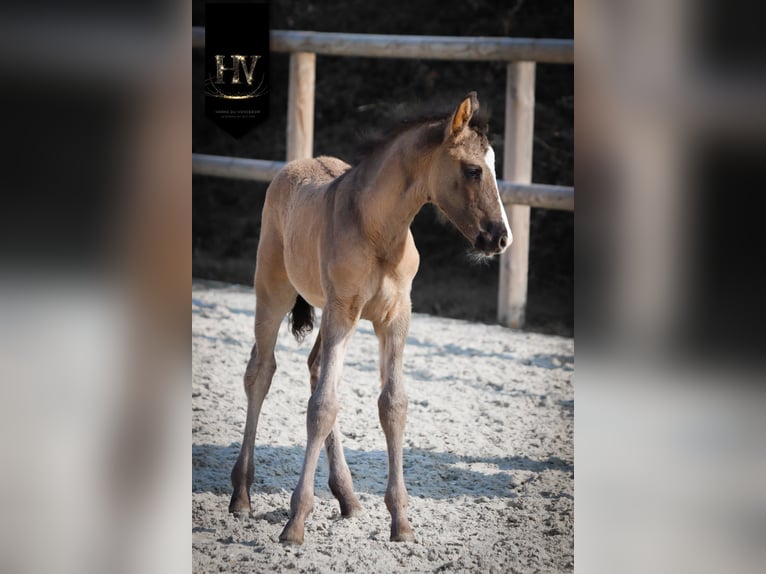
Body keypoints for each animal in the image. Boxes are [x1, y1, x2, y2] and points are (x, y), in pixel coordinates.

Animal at [228, 92, 512, 544]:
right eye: (473, 170)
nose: (500, 238)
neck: (379, 230)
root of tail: (292, 167)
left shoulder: (395, 317)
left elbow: (392, 404)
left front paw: (401, 522)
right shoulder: (343, 310)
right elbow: (322, 406)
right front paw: (295, 522)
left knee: (313, 367)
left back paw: (347, 497)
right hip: (273, 291)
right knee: (261, 371)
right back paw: (241, 495)